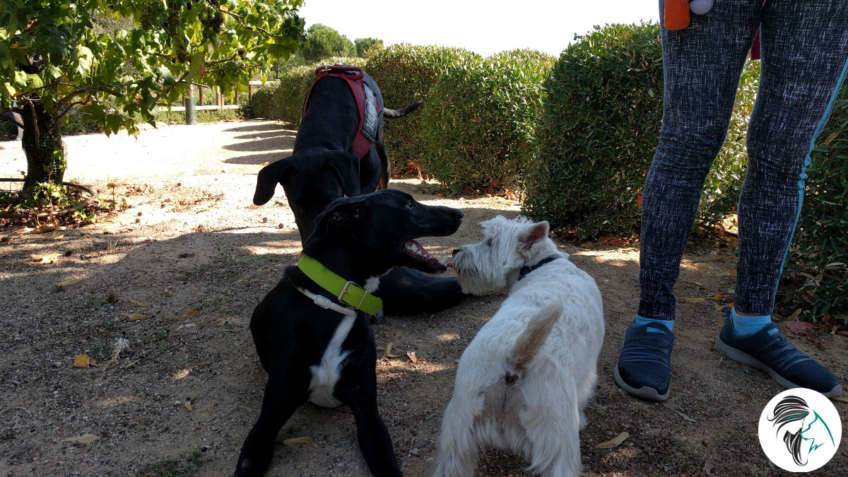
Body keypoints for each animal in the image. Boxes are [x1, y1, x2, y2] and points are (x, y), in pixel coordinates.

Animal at [434, 216, 608, 476]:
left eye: (489, 242)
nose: (455, 251)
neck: (540, 265)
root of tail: (515, 357)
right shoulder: (587, 375)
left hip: (460, 425)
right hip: (558, 435)